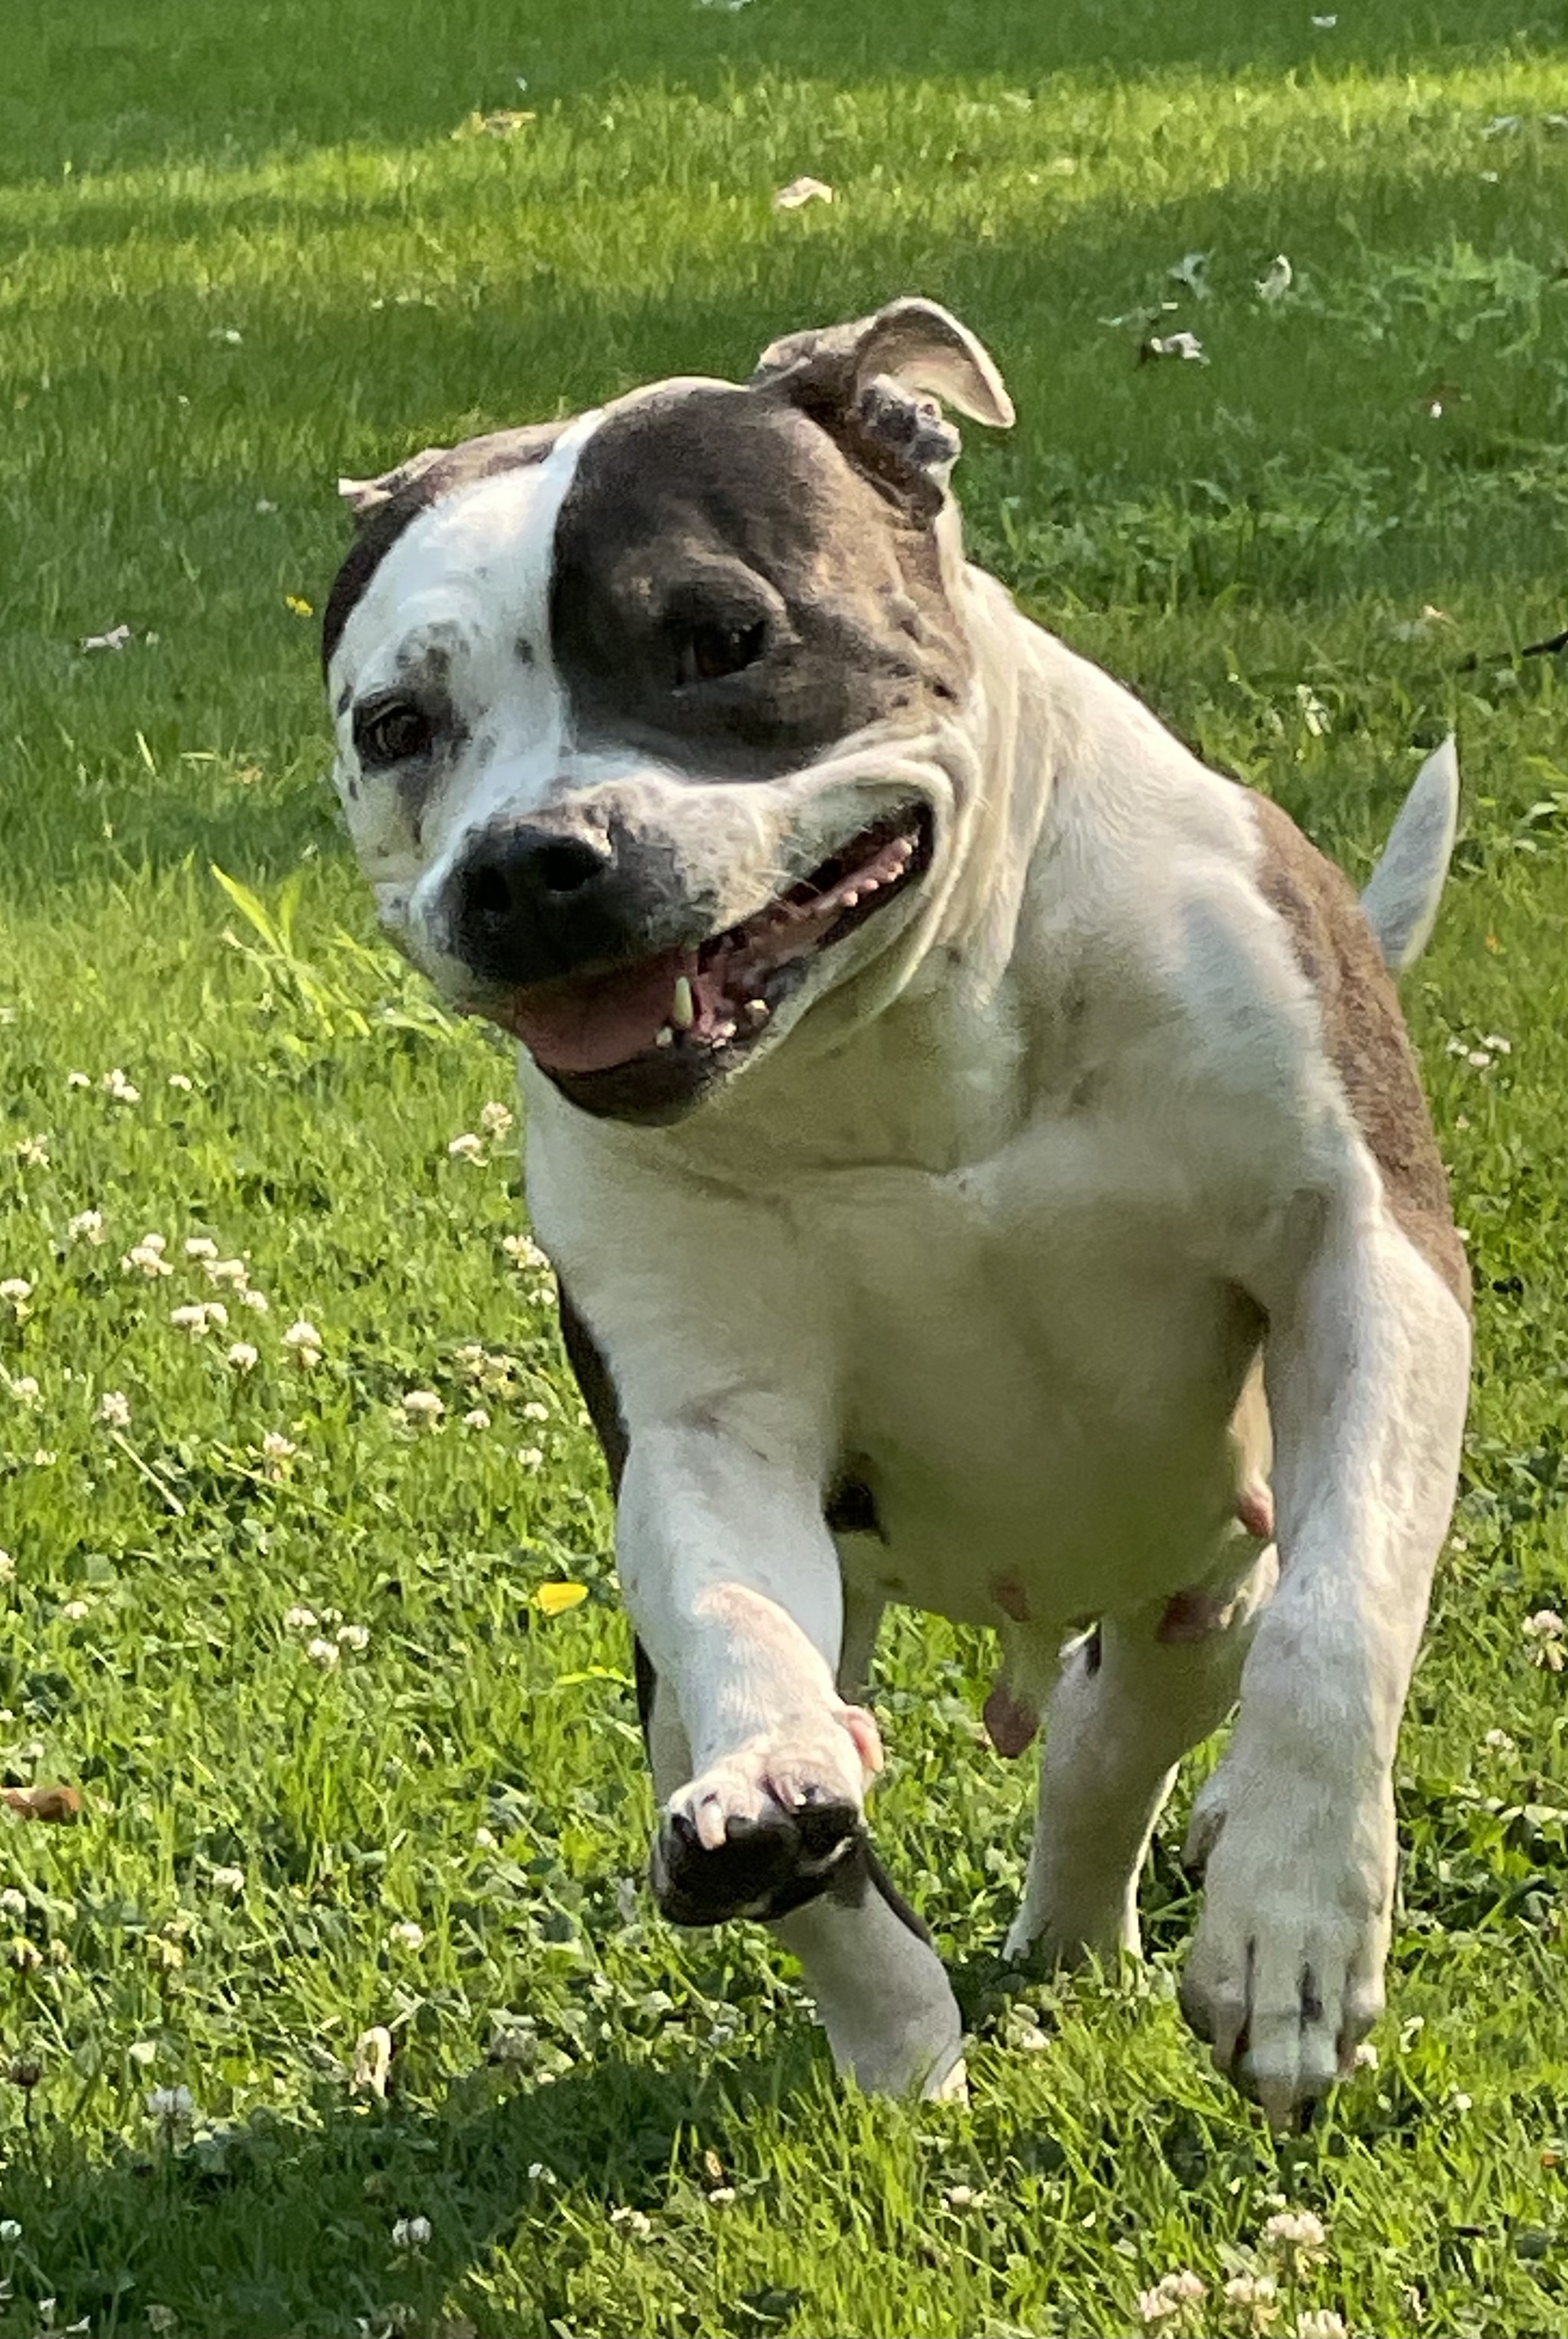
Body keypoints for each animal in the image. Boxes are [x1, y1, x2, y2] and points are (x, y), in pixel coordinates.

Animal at [322, 292, 1477, 2123]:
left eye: (721, 638)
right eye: (395, 726)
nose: (525, 859)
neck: (902, 1041)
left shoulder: (1361, 1260)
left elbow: (1341, 1606)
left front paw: (1293, 1916)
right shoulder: (707, 1418)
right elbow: (737, 1628)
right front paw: (778, 1806)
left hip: (1193, 1579)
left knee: (1124, 1727)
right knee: (846, 1837)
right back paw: (901, 2031)